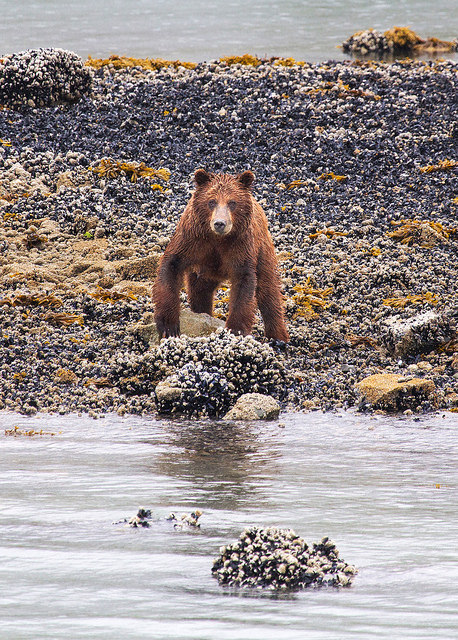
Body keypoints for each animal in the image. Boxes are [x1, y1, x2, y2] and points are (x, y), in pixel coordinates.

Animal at [153, 169, 289, 342]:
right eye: (212, 201)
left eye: (232, 202)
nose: (219, 223)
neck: (217, 239)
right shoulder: (192, 240)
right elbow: (171, 266)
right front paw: (169, 326)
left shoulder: (240, 247)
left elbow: (244, 284)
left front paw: (236, 330)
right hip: (203, 273)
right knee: (199, 292)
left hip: (263, 249)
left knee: (268, 290)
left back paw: (278, 336)